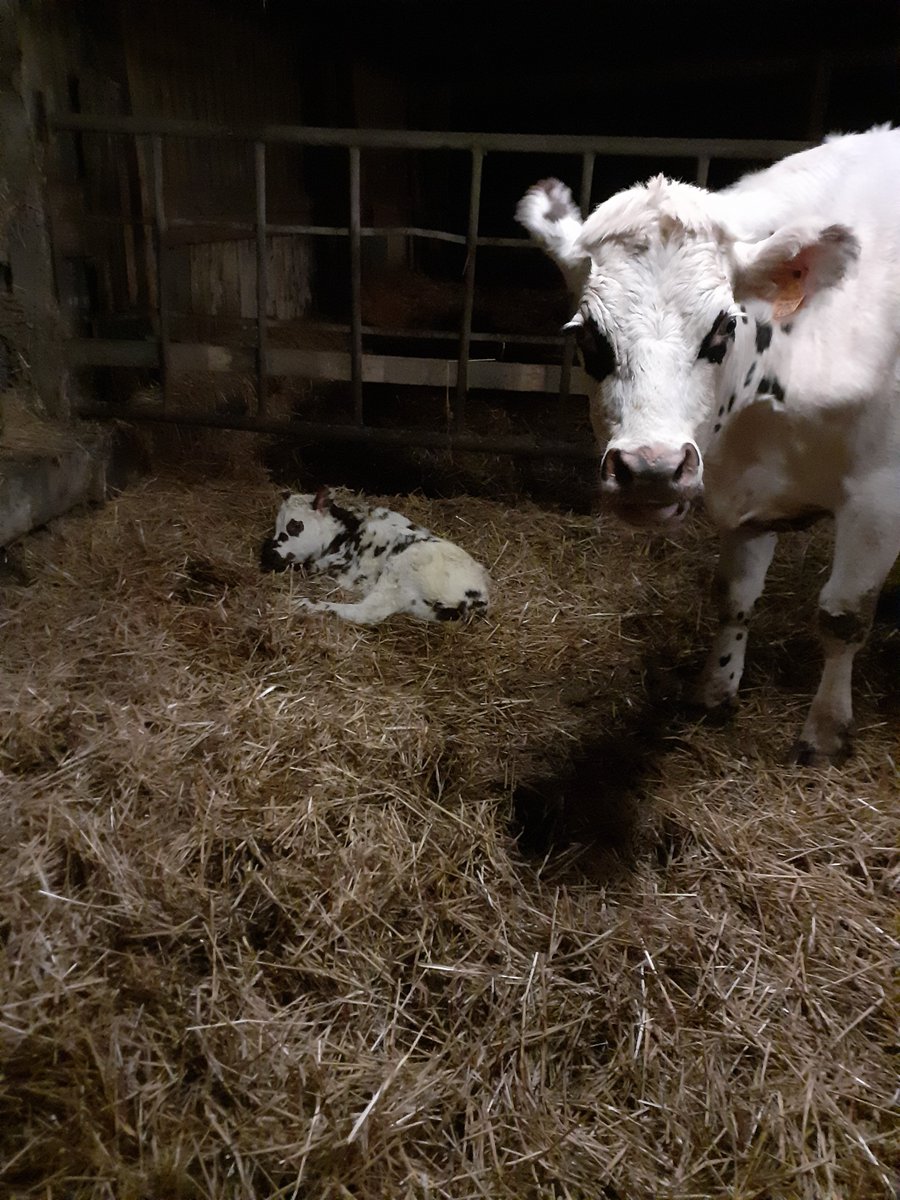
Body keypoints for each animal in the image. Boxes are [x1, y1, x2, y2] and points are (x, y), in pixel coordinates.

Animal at [260, 487, 491, 625]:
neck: (347, 532)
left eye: (295, 525)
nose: (269, 554)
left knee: (366, 612)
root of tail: (476, 598)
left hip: (400, 570)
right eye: (276, 525)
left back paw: (305, 604)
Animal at [517, 125, 900, 764]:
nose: (651, 469)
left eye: (723, 327)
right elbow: (733, 596)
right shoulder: (749, 496)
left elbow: (842, 616)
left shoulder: (879, 498)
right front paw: (715, 690)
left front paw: (824, 732)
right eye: (588, 337)